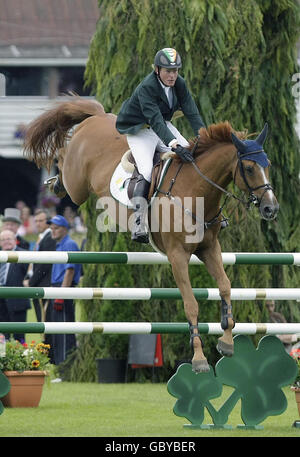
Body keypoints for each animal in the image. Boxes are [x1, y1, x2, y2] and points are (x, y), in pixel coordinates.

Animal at [23, 96, 278, 370]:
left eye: (268, 166)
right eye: (249, 168)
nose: (271, 208)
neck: (196, 190)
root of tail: (99, 116)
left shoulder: (209, 248)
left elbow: (225, 287)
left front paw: (227, 342)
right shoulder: (177, 256)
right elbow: (191, 304)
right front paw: (199, 359)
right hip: (77, 184)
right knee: (62, 156)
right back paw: (54, 180)